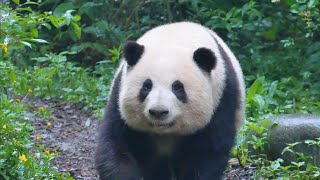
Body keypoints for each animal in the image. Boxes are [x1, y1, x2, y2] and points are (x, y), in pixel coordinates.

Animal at [95, 21, 245, 180]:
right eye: (147, 86)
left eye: (178, 88)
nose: (158, 112)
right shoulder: (119, 95)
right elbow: (116, 144)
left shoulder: (221, 98)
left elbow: (207, 152)